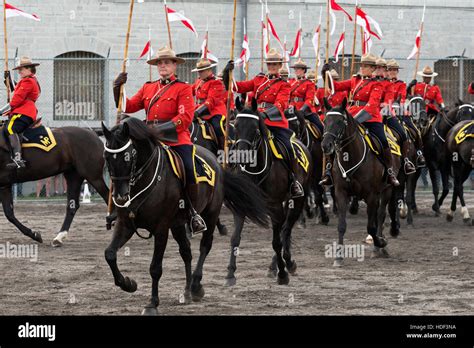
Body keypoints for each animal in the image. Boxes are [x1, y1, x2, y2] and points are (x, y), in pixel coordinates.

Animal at [102, 117, 268, 316]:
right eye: (107, 157)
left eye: (129, 155)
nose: (120, 196)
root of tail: (216, 162)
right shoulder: (126, 224)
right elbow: (110, 254)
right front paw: (128, 284)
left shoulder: (161, 229)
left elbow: (155, 268)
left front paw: (152, 303)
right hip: (178, 224)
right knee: (186, 252)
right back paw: (187, 290)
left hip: (210, 214)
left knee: (205, 246)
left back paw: (196, 286)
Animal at [225, 98, 312, 286]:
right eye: (236, 126)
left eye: (256, 130)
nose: (240, 157)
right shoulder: (241, 205)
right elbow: (235, 238)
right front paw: (230, 273)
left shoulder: (275, 207)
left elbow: (276, 242)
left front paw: (282, 274)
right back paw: (278, 265)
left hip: (298, 200)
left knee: (286, 230)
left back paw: (286, 263)